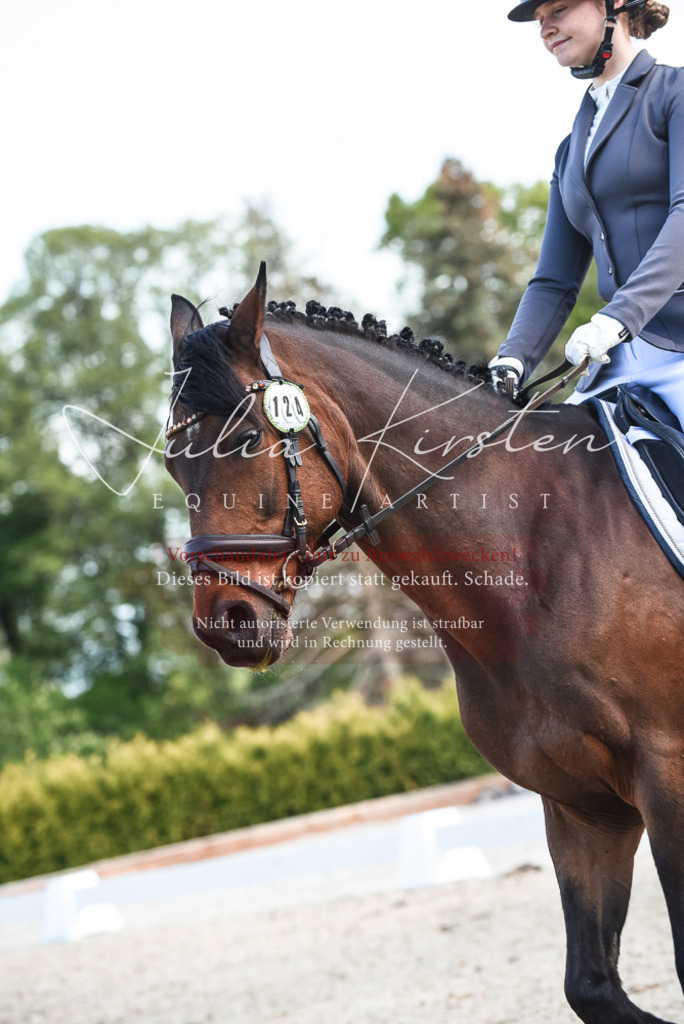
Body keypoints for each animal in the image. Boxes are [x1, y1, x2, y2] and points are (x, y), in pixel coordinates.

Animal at [165, 264, 684, 1024]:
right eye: (173, 464)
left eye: (245, 439)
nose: (225, 622)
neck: (535, 555)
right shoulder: (582, 804)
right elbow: (592, 985)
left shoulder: (669, 776)